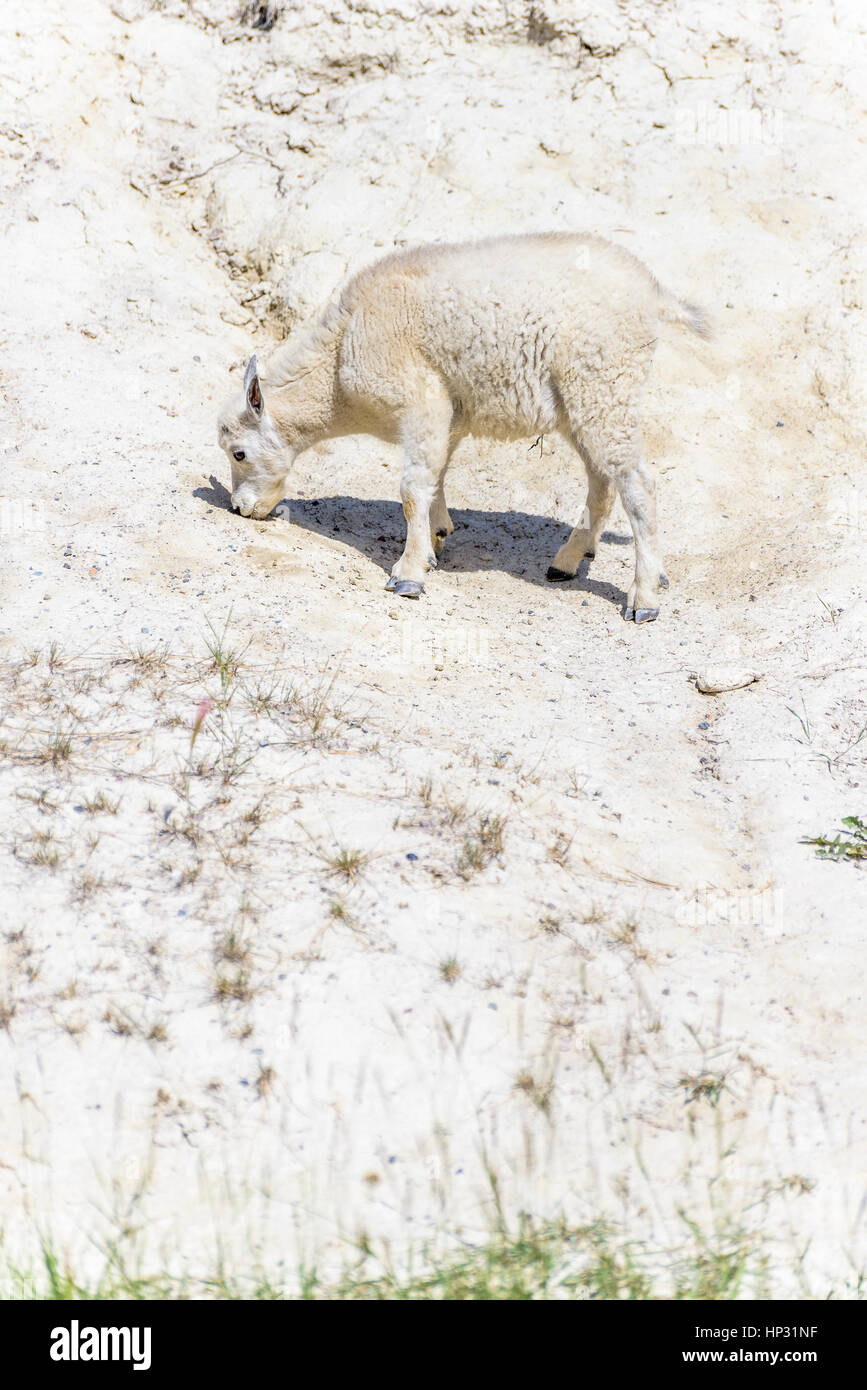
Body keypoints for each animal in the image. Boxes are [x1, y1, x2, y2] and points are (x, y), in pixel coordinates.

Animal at [218, 232, 711, 619]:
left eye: (239, 452)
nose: (240, 508)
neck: (339, 360)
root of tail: (653, 293)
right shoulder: (449, 413)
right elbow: (435, 476)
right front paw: (436, 539)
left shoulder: (422, 401)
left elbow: (412, 488)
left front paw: (409, 574)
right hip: (584, 404)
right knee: (602, 480)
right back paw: (570, 561)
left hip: (606, 385)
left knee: (637, 483)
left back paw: (643, 597)